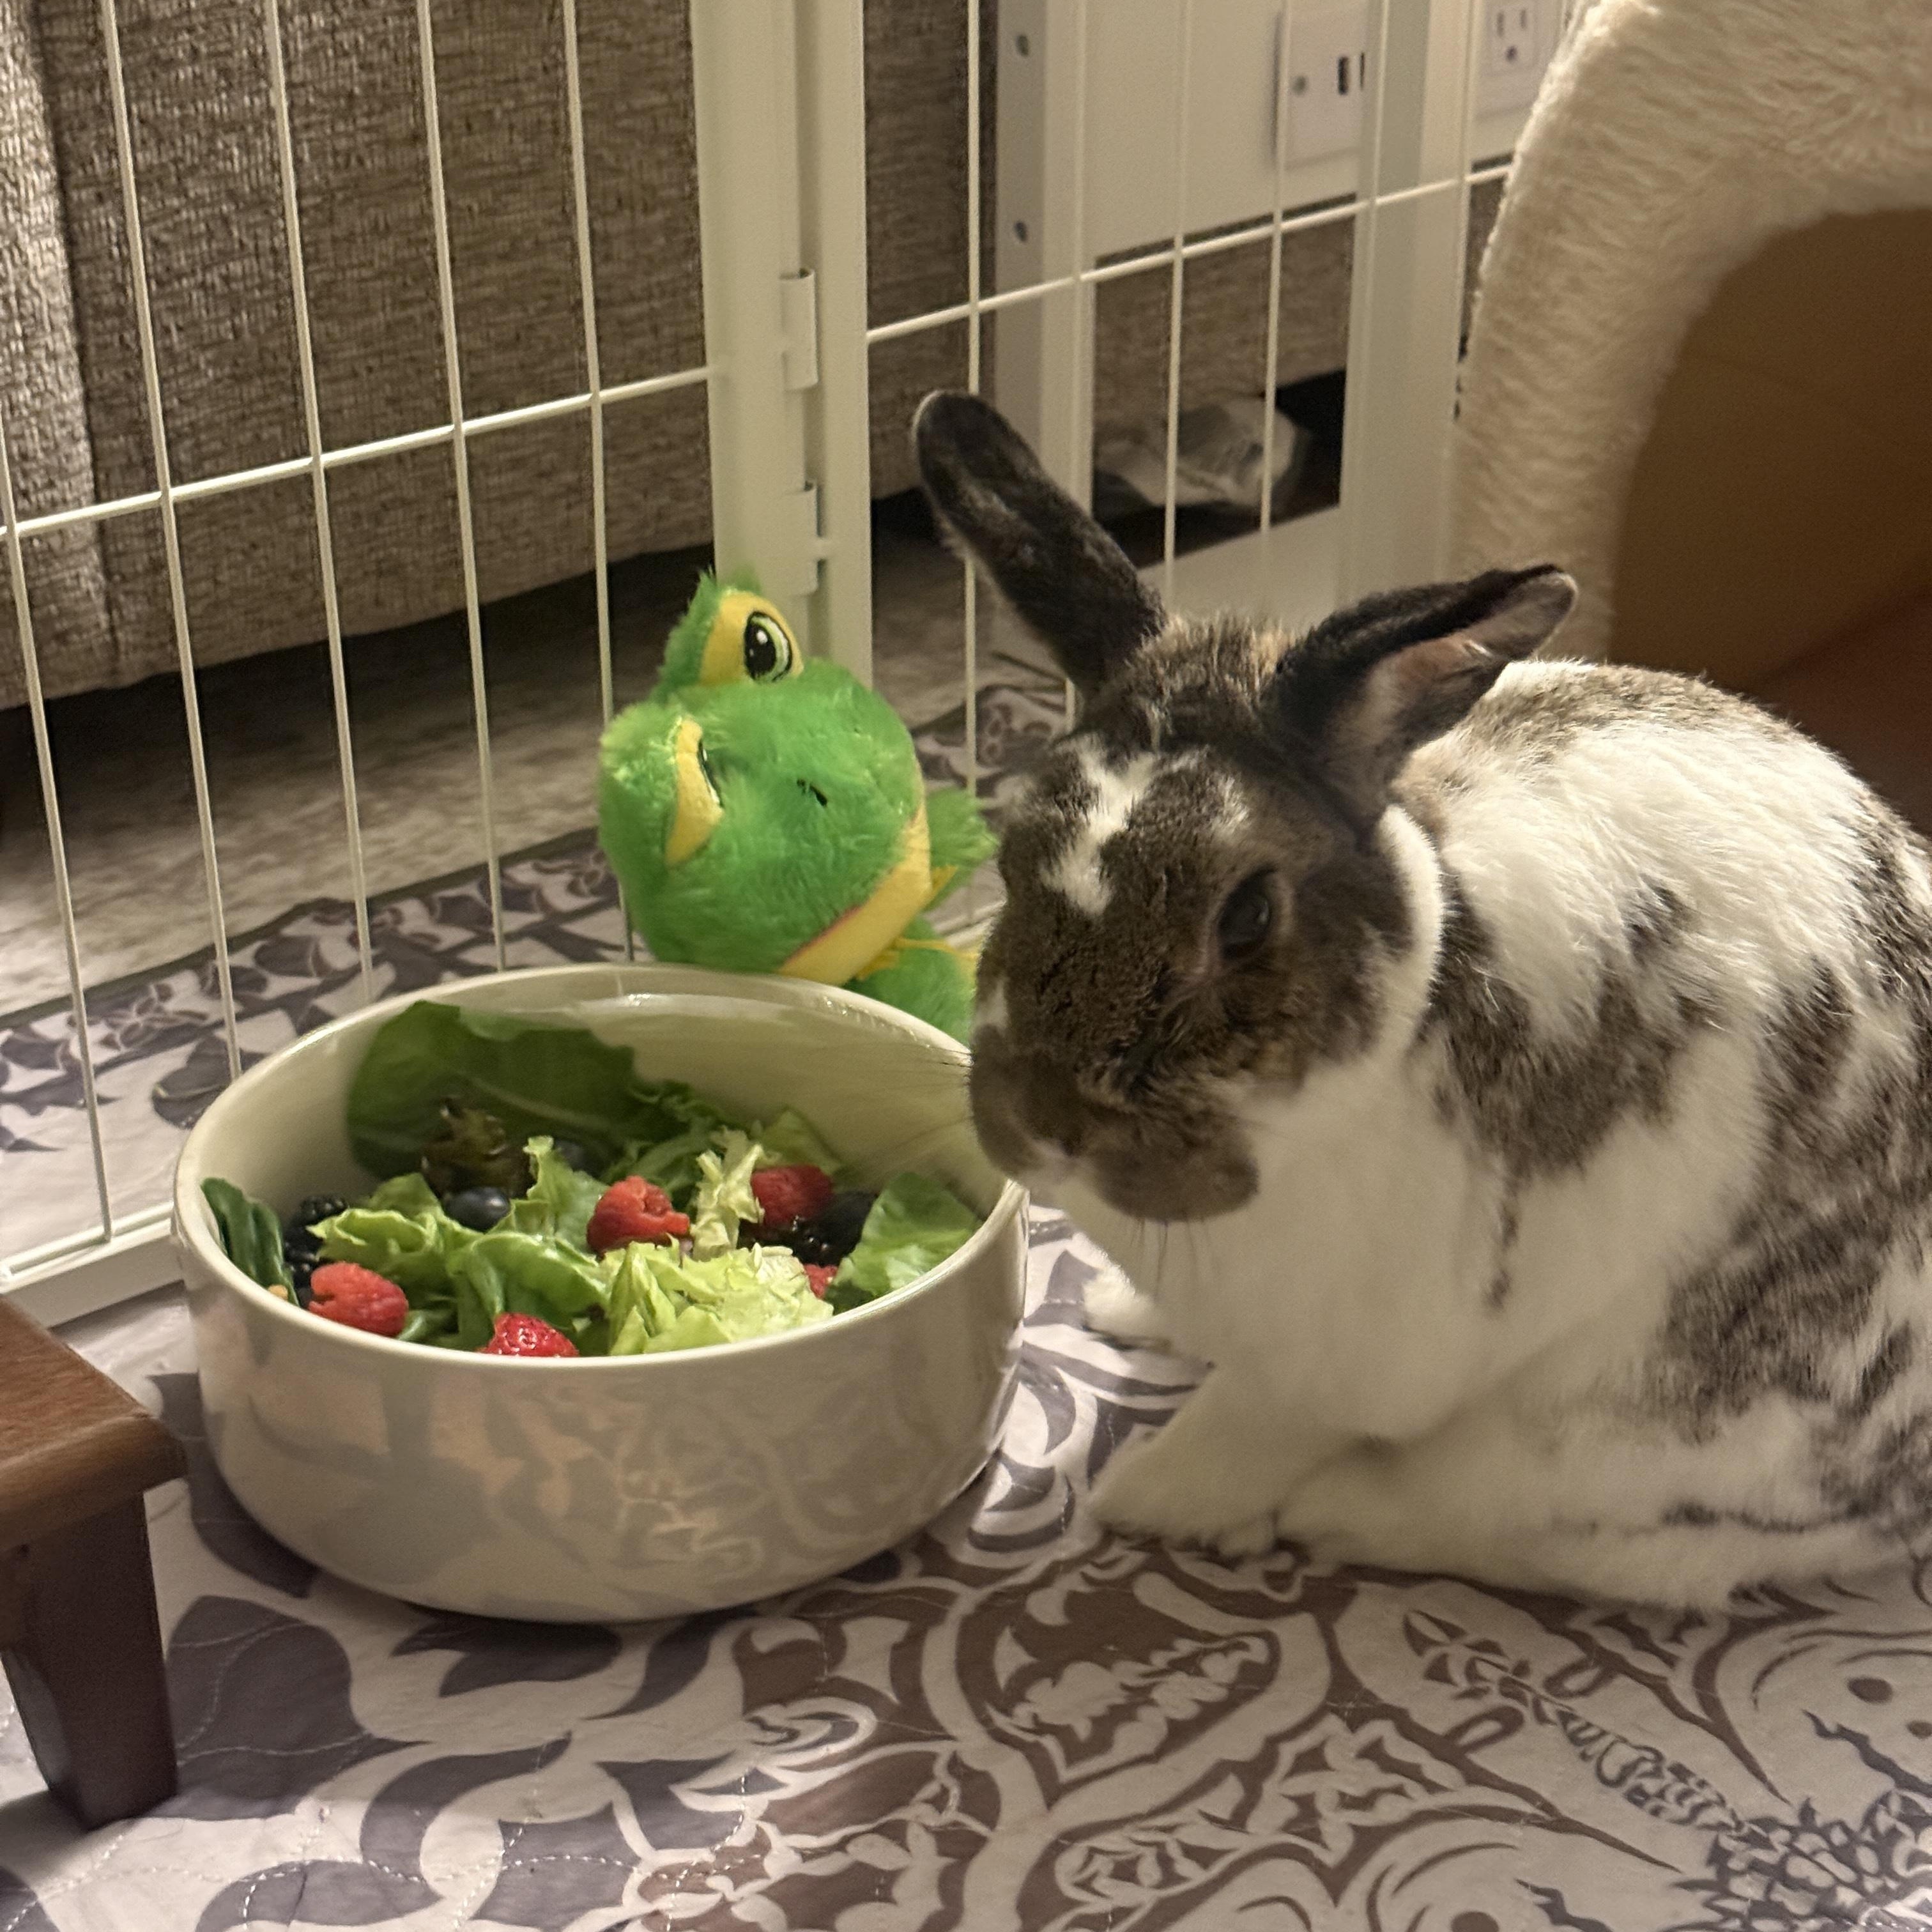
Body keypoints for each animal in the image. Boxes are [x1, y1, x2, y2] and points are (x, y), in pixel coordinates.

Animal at [914, 388, 1932, 1609]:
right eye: (1010, 854)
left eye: (1245, 915)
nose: (1051, 1124)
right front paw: (1122, 1317)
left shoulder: (1337, 1369)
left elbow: (1239, 1431)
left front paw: (1145, 1498)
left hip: (1624, 1448)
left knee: (1593, 1542)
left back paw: (1336, 1513)